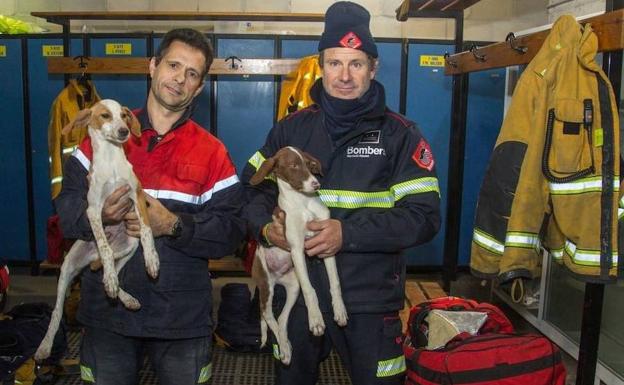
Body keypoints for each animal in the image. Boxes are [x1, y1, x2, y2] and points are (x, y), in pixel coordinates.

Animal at [34, 99, 160, 360]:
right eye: (105, 115)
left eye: (124, 116)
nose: (124, 131)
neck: (111, 161)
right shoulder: (95, 211)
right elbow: (104, 245)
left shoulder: (136, 196)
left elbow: (146, 231)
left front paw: (152, 260)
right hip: (67, 268)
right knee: (58, 310)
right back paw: (45, 346)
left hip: (130, 245)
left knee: (110, 265)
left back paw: (125, 296)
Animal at [249, 146, 346, 364]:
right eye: (293, 165)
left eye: (309, 165)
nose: (316, 183)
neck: (303, 202)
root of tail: (277, 280)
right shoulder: (296, 249)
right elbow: (311, 290)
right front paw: (316, 319)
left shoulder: (327, 244)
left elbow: (334, 281)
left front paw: (339, 309)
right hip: (265, 285)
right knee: (268, 316)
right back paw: (283, 347)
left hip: (293, 288)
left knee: (281, 319)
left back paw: (285, 346)